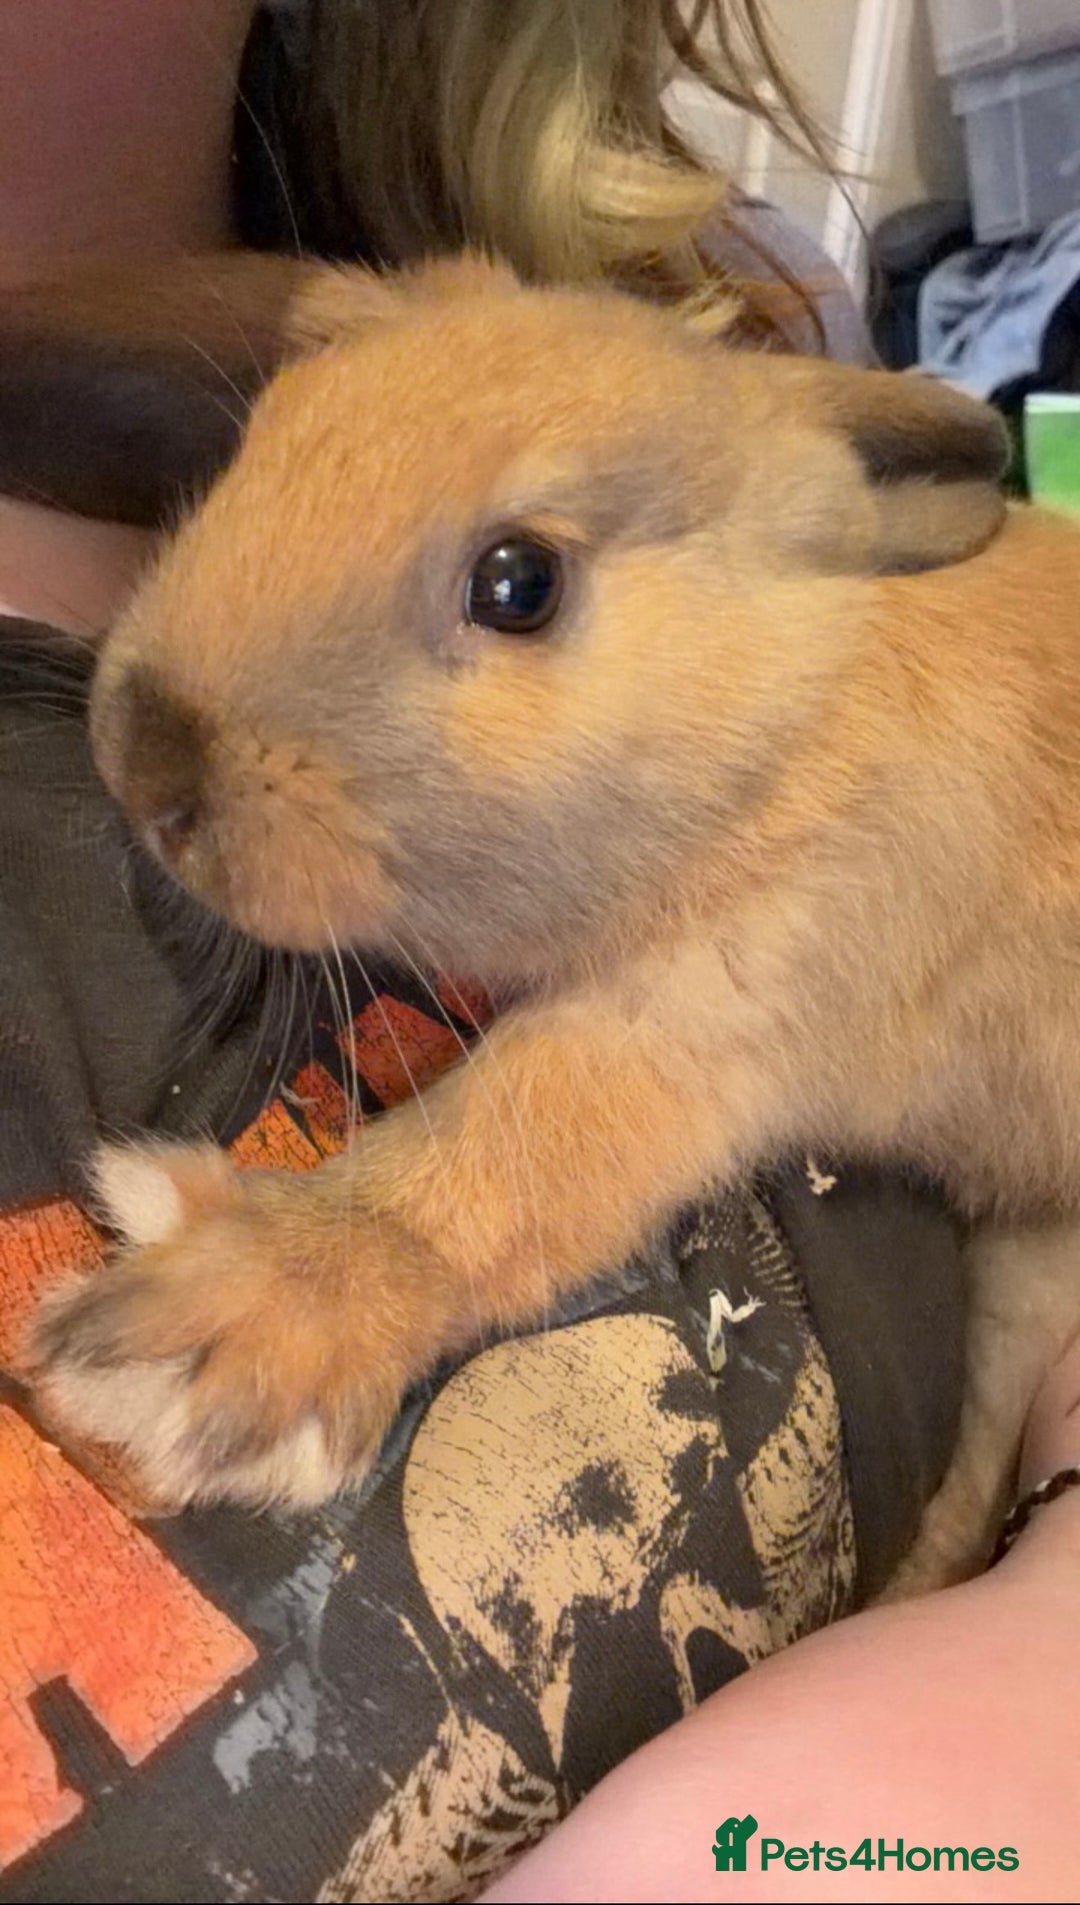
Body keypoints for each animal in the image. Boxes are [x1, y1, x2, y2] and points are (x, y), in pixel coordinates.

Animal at [21, 254, 1080, 1588]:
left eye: (517, 584)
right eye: (266, 433)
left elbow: (499, 1156)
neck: (779, 711)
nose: (146, 759)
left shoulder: (715, 1010)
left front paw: (216, 1337)